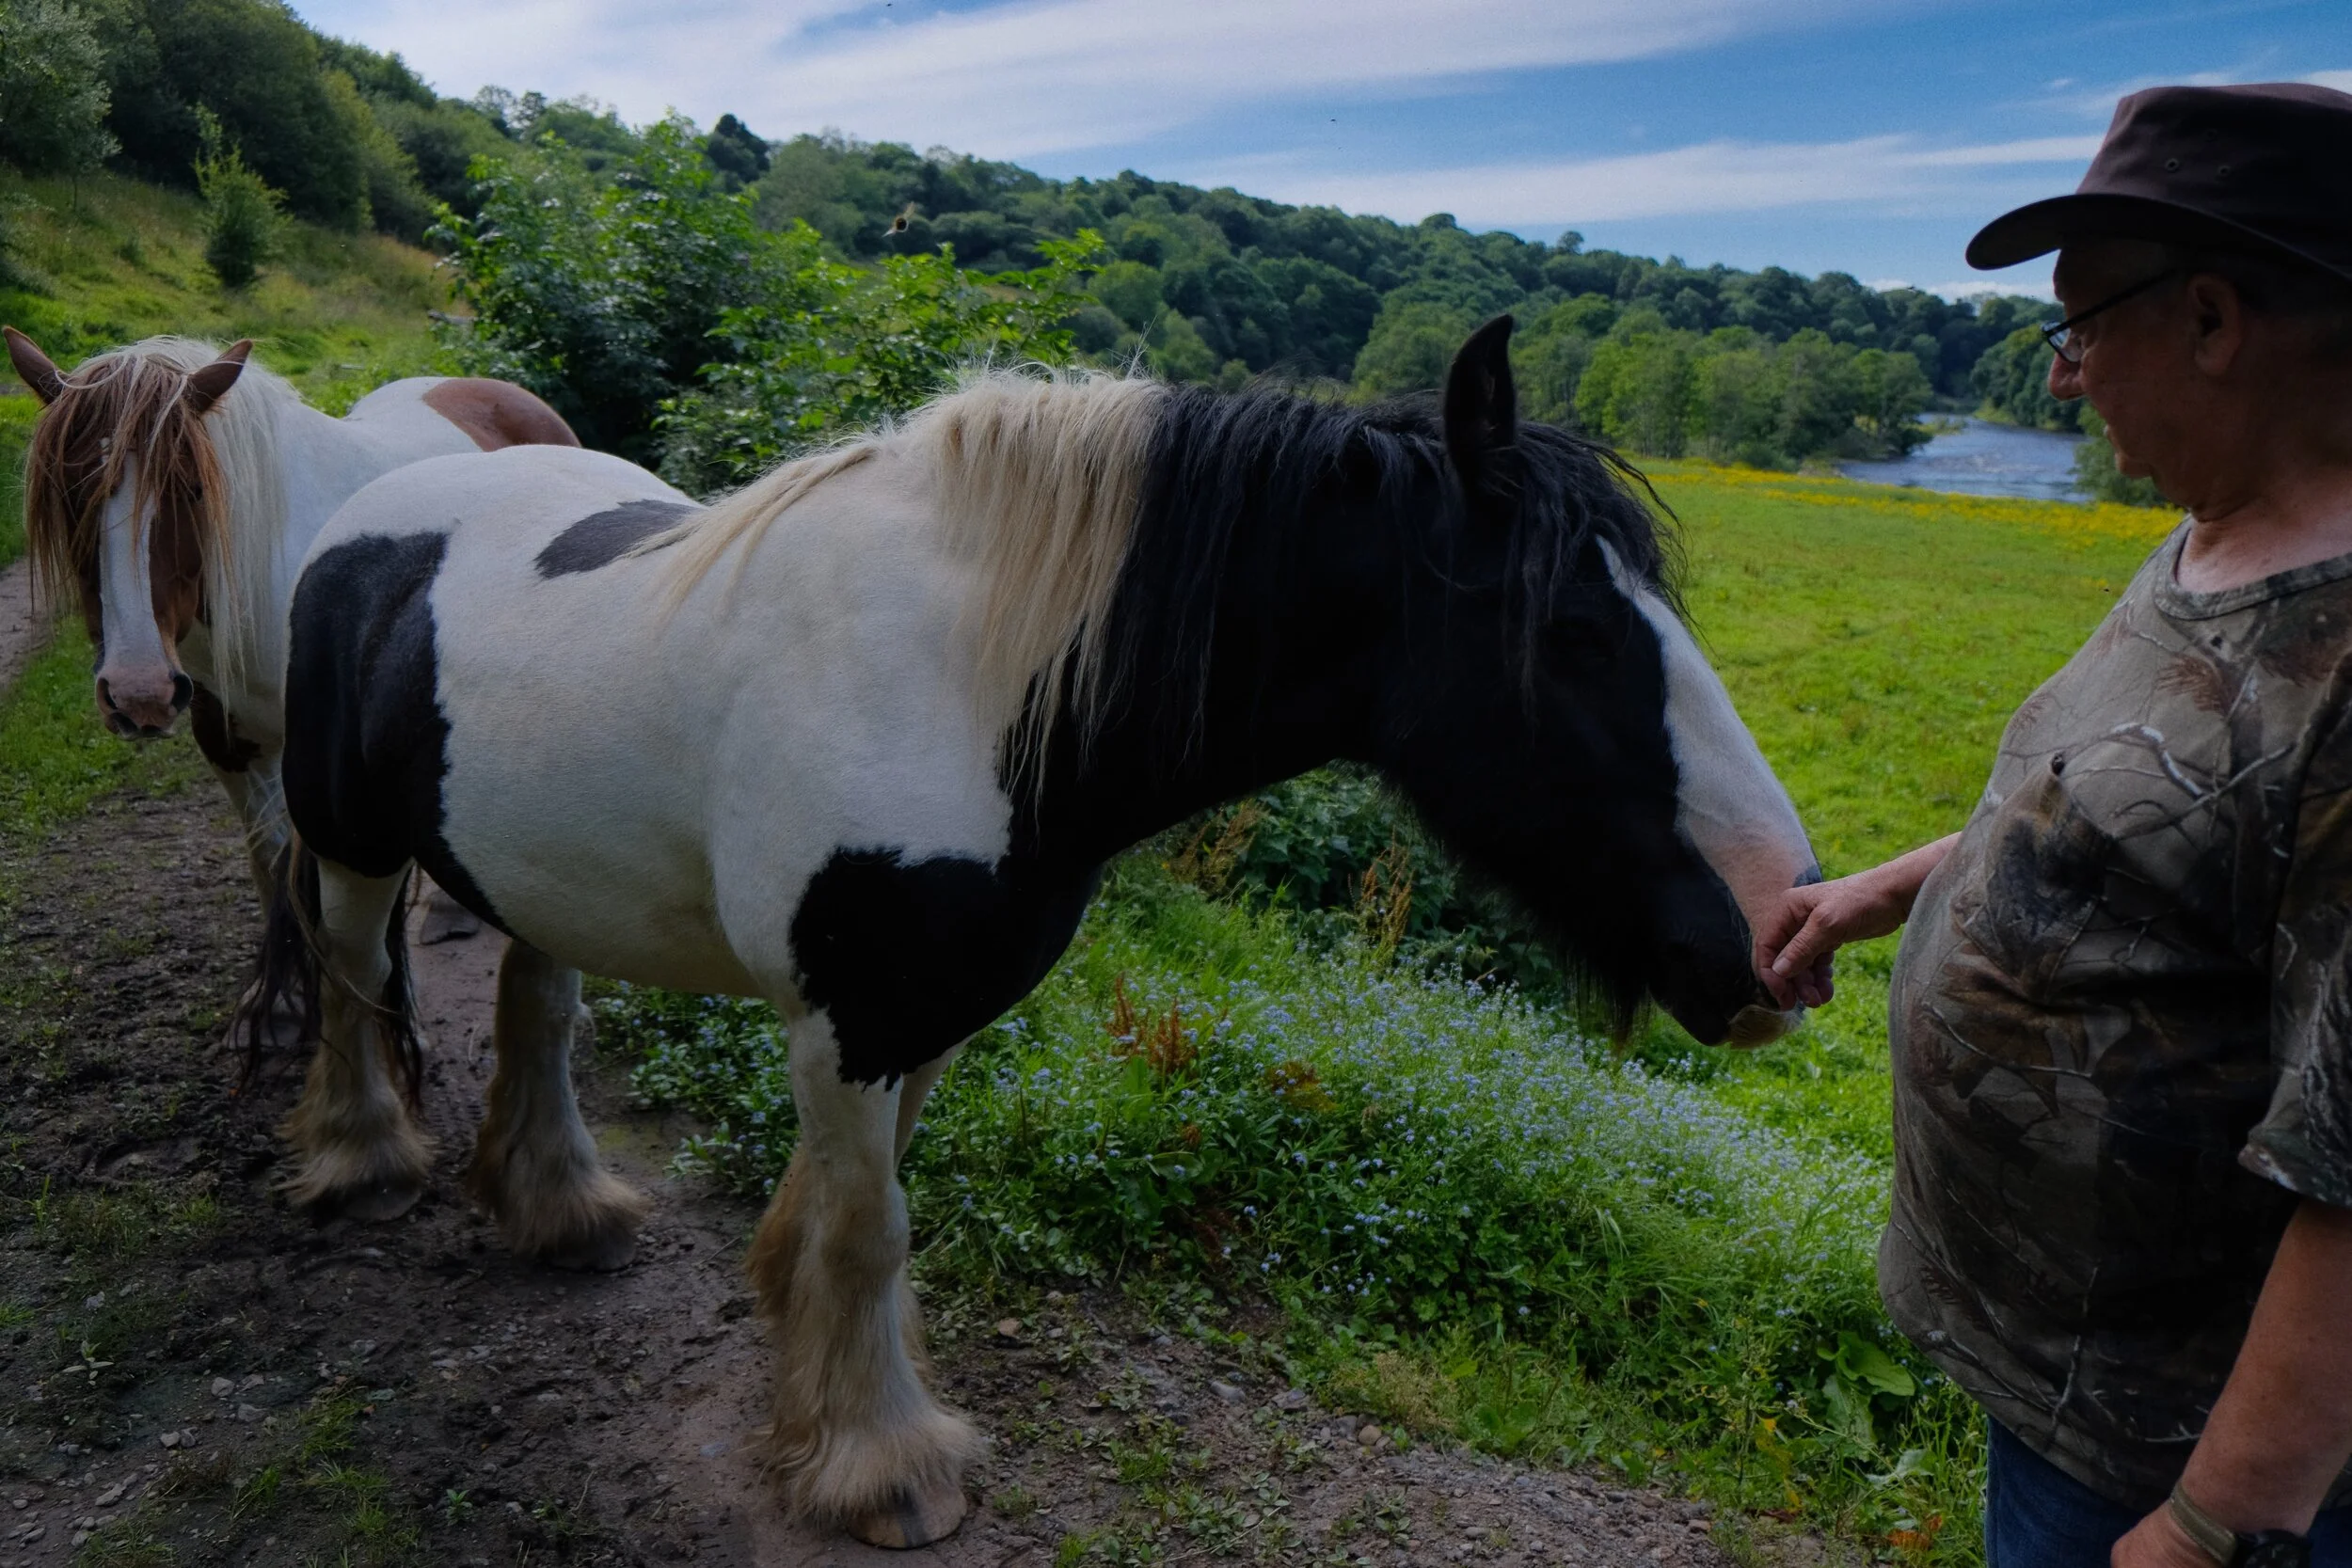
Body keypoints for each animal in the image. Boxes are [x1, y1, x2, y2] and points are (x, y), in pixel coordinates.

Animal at [253, 317, 1818, 1547]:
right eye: (1574, 633)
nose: (1781, 933)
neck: (969, 687)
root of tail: (379, 507)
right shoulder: (850, 1017)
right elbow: (874, 1225)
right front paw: (884, 1466)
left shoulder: (926, 1012)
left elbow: (861, 1214)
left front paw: (824, 1395)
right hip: (351, 843)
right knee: (349, 979)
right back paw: (362, 1160)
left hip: (544, 871)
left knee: (537, 1002)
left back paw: (560, 1204)